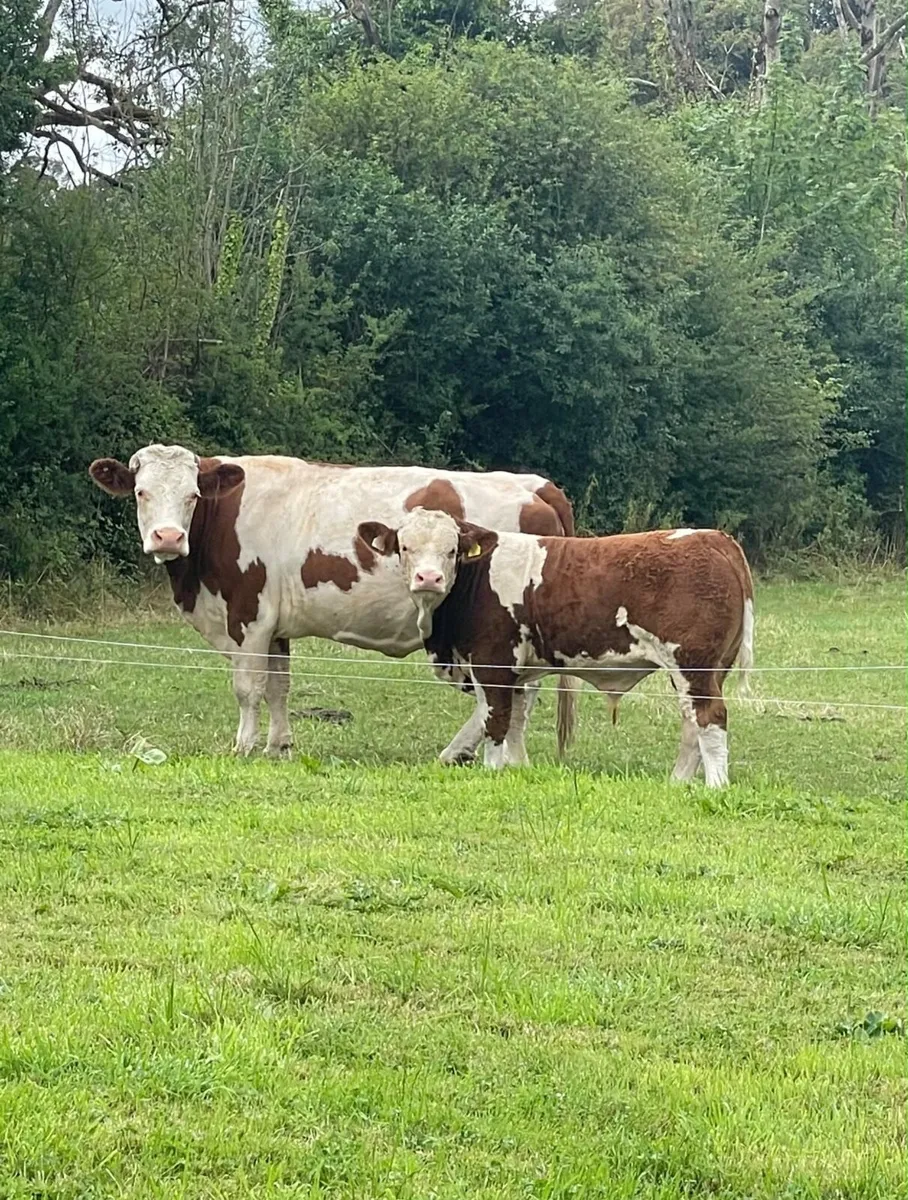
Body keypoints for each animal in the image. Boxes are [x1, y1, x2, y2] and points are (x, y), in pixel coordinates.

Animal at [88, 445, 578, 759]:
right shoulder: (275, 623)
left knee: (512, 694)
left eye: (192, 495)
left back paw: (464, 751)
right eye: (141, 492)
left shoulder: (248, 614)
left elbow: (248, 687)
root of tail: (537, 486)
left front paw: (243, 746)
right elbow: (279, 686)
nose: (168, 537)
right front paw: (278, 746)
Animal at [356, 509, 755, 786]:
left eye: (451, 550)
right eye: (404, 547)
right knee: (691, 722)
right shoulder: (516, 671)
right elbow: (515, 721)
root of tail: (715, 538)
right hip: (705, 669)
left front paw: (491, 771)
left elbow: (496, 721)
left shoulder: (492, 662)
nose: (429, 578)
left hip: (693, 663)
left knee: (710, 718)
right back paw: (678, 784)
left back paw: (716, 786)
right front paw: (518, 769)